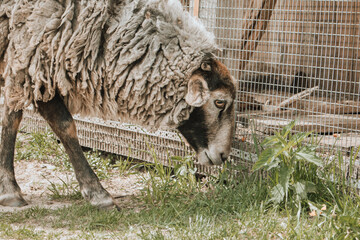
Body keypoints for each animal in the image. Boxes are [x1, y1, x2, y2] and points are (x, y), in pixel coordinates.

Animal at [0, 0, 236, 210]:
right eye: (220, 102)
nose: (223, 155)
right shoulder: (36, 64)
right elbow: (65, 126)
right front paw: (98, 194)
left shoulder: (21, 63)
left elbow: (10, 119)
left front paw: (8, 190)